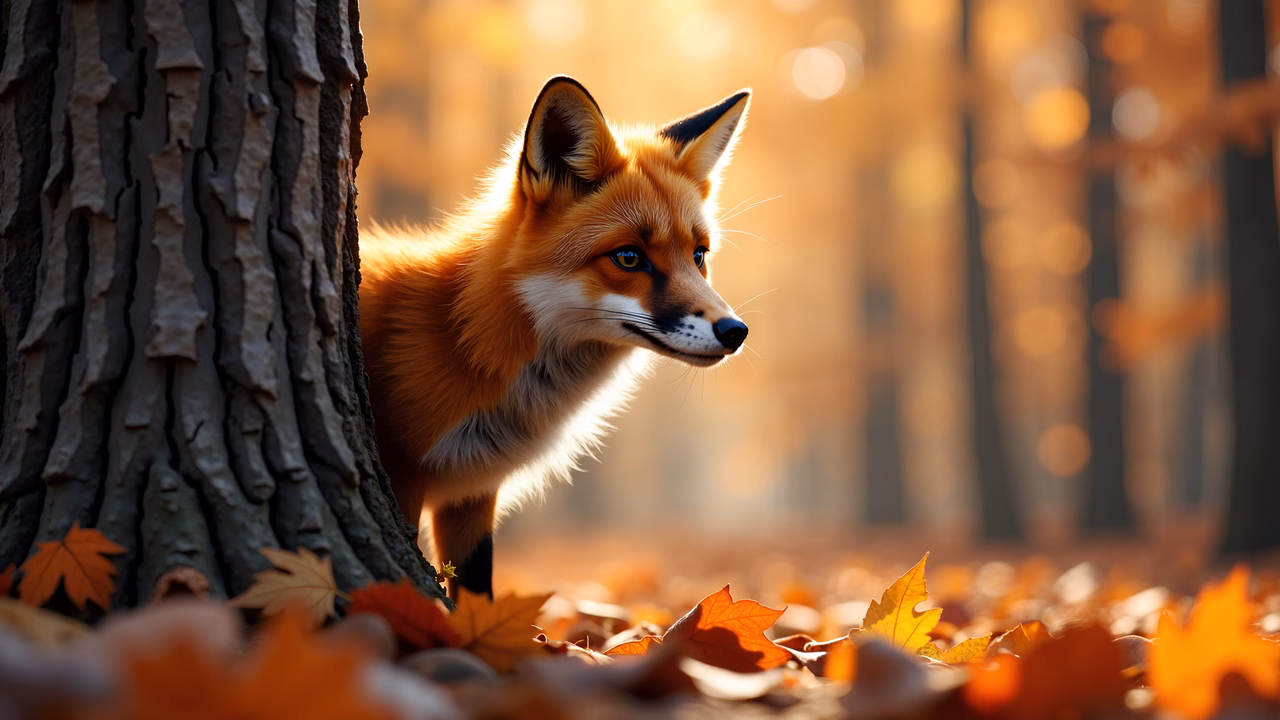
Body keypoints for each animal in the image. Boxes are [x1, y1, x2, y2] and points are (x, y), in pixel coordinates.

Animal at [358, 76, 751, 598]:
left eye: (699, 255)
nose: (736, 331)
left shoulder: (471, 493)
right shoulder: (403, 474)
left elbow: (476, 595)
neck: (461, 332)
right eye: (629, 258)